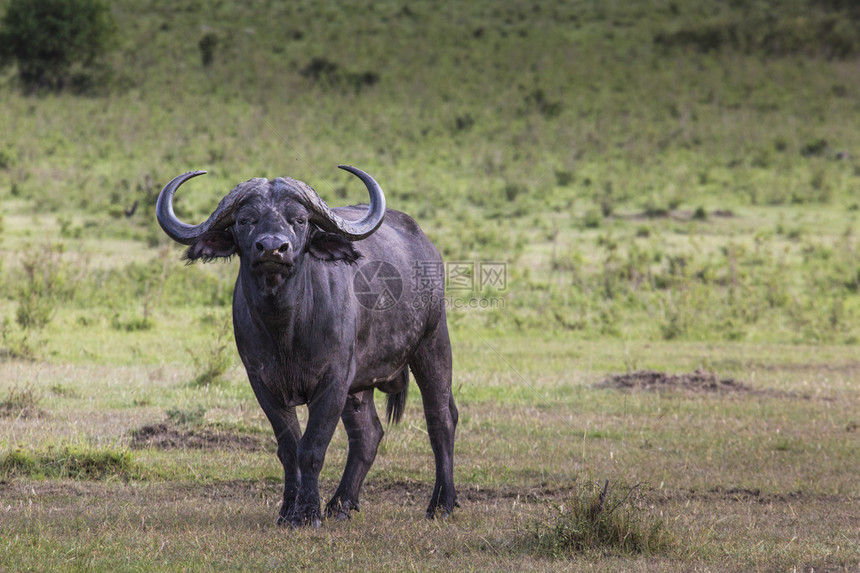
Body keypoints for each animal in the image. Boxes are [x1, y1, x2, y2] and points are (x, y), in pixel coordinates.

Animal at [158, 165, 460, 528]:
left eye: (299, 220)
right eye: (245, 220)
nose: (272, 248)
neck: (286, 328)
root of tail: (426, 248)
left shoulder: (333, 380)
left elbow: (312, 447)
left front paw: (307, 512)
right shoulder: (262, 382)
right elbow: (289, 448)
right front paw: (289, 510)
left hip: (433, 343)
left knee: (441, 419)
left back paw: (441, 504)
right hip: (360, 386)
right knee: (368, 434)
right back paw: (341, 504)